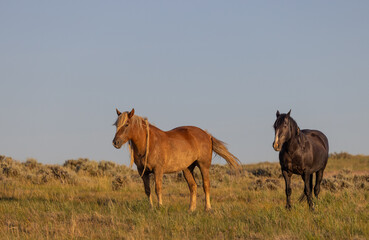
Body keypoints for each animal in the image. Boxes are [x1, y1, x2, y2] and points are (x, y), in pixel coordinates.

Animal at [110, 108, 240, 211]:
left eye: (126, 124)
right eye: (116, 125)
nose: (115, 142)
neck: (149, 144)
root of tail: (207, 135)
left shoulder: (158, 170)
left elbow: (158, 188)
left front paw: (160, 207)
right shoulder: (143, 172)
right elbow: (147, 190)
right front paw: (151, 208)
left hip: (204, 166)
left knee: (206, 185)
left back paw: (207, 208)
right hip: (187, 169)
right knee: (193, 186)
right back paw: (191, 209)